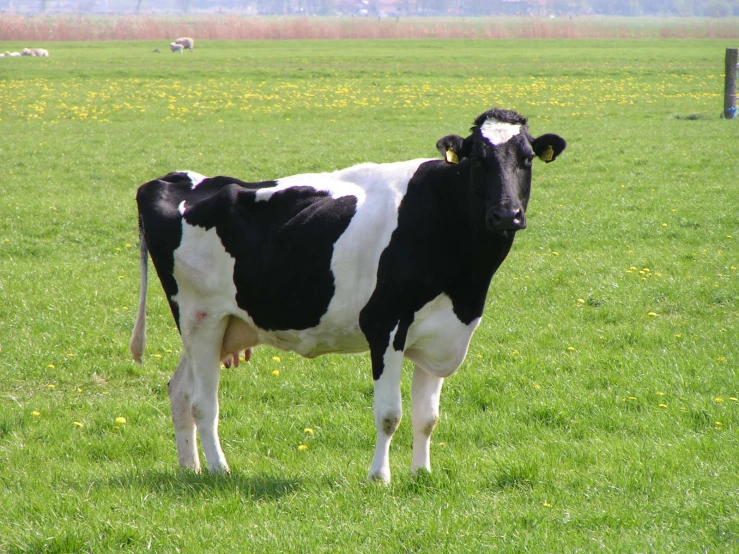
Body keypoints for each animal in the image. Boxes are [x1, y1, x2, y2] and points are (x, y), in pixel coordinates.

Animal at [130, 106, 568, 478]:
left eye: (527, 158)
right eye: (478, 159)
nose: (507, 214)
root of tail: (175, 179)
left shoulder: (440, 332)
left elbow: (427, 418)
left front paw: (421, 474)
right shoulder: (385, 324)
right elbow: (389, 414)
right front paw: (379, 477)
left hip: (221, 326)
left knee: (179, 391)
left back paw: (190, 468)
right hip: (200, 316)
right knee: (203, 402)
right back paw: (220, 470)